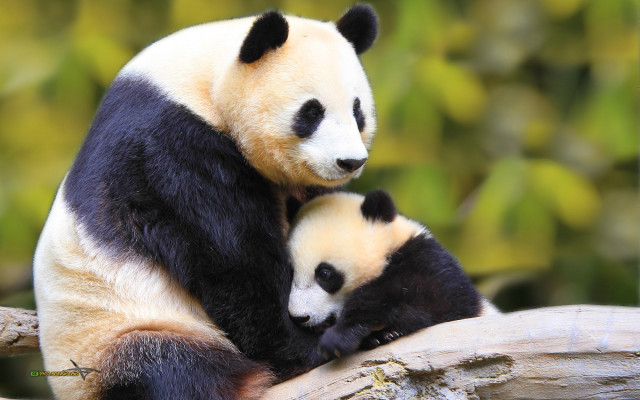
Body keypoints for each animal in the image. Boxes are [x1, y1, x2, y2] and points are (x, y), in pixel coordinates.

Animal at [32, 6, 378, 400]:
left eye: (357, 111)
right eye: (311, 112)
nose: (350, 162)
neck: (203, 82)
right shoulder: (170, 147)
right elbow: (234, 259)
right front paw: (310, 346)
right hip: (115, 333)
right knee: (169, 369)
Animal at [286, 191, 500, 360]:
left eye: (324, 274)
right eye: (292, 272)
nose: (299, 317)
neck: (390, 246)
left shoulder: (430, 263)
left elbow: (427, 299)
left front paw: (338, 338)